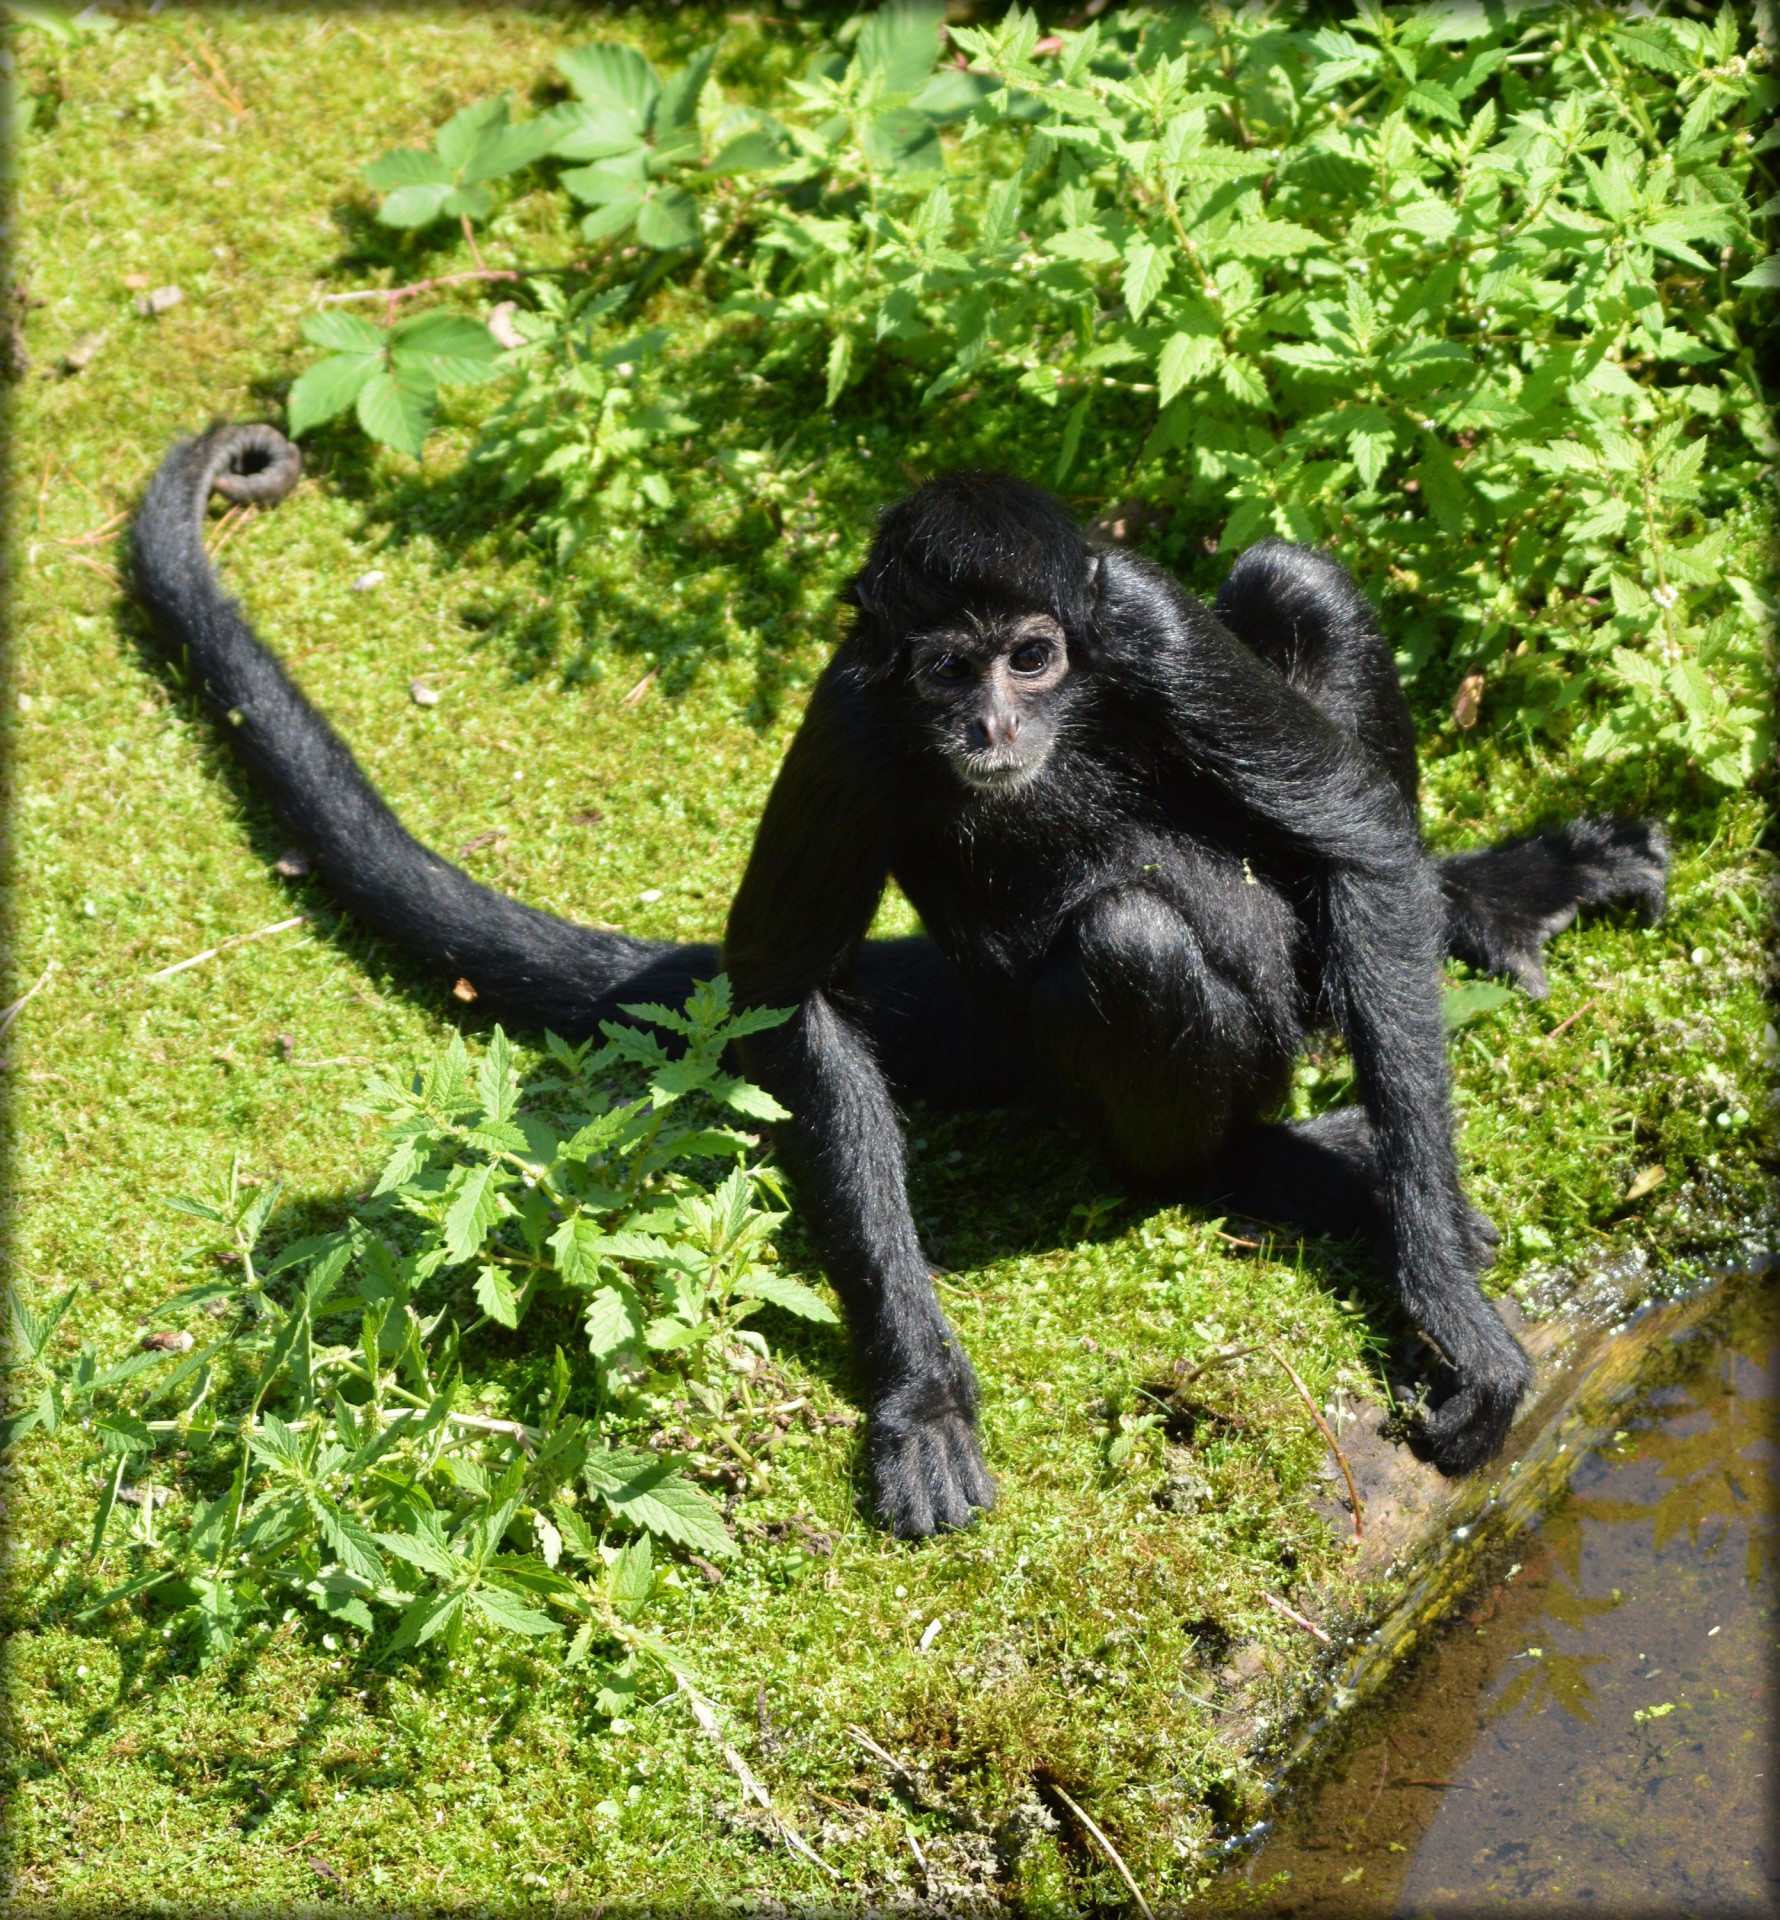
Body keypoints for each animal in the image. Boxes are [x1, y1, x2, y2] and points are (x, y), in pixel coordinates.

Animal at [128, 428, 1674, 1536]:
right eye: (946, 669)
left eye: (1035, 656)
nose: (991, 723)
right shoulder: (855, 715)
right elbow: (784, 995)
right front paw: (923, 1399)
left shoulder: (1145, 625)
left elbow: (1354, 844)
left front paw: (1446, 1310)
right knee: (1133, 938)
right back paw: (1255, 1165)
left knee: (1292, 598)